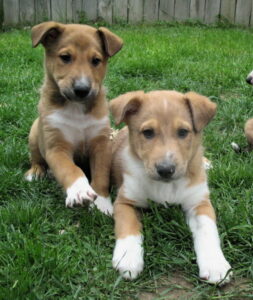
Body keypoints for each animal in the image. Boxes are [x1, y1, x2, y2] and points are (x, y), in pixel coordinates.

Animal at [25, 21, 122, 216]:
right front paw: (79, 191)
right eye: (65, 57)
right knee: (37, 159)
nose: (82, 89)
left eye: (96, 61)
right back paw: (36, 172)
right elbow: (70, 169)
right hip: (34, 134)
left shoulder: (101, 145)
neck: (76, 108)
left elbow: (100, 175)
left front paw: (102, 203)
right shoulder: (56, 148)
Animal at [109, 89, 232, 284]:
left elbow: (208, 231)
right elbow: (128, 226)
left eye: (183, 132)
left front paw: (215, 265)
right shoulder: (124, 202)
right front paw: (128, 258)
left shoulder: (199, 203)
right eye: (148, 132)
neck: (166, 187)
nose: (165, 170)